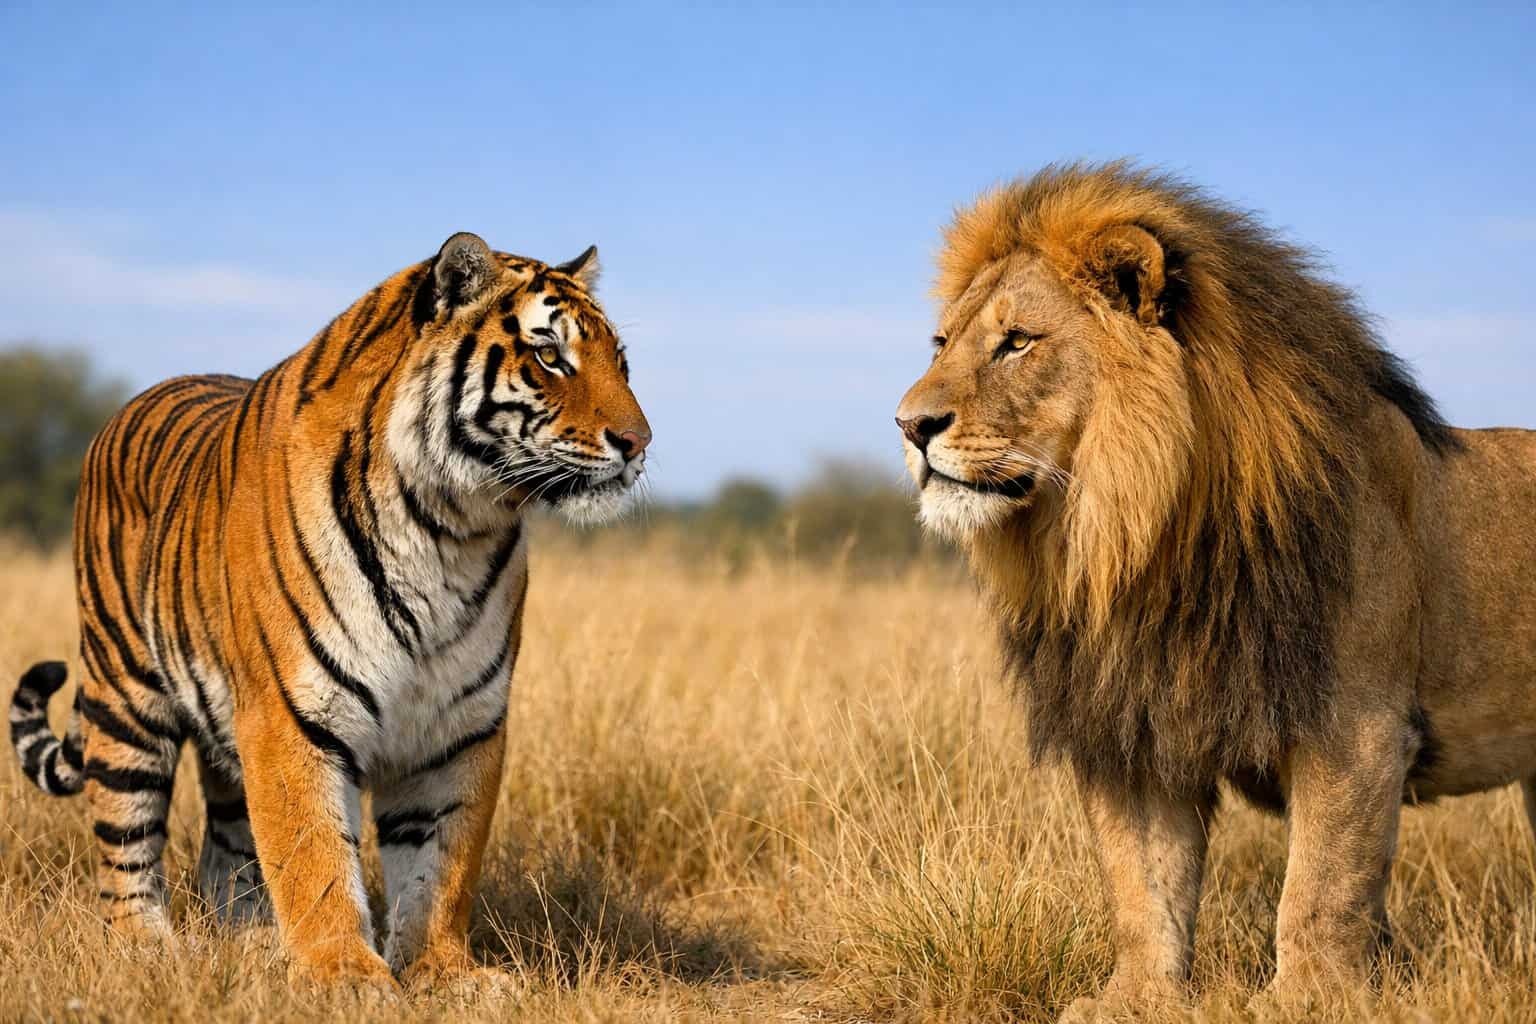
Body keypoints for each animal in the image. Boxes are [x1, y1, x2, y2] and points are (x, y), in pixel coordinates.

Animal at [6, 231, 651, 986]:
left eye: (621, 362)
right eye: (550, 356)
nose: (638, 444)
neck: (449, 527)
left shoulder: (460, 726)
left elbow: (441, 864)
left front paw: (443, 972)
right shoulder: (291, 714)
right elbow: (312, 855)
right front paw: (343, 974)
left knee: (225, 850)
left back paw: (252, 944)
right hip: (126, 702)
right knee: (126, 846)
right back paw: (146, 948)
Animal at [895, 161, 1536, 1016]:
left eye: (1017, 342)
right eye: (942, 343)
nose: (909, 425)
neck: (1134, 543)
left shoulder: (1356, 727)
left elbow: (1320, 886)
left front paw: (1304, 1001)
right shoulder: (1133, 726)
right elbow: (1141, 888)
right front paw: (1134, 999)